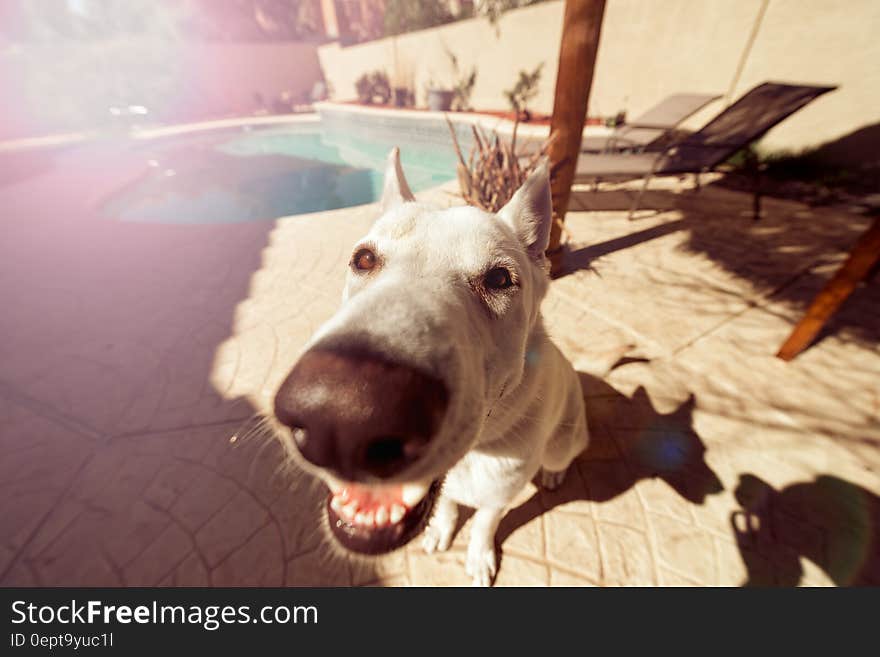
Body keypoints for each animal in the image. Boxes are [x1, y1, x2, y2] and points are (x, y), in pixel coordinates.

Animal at [274, 147, 592, 584]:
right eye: (364, 259)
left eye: (499, 279)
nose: (343, 417)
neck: (477, 453)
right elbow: (448, 506)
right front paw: (443, 529)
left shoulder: (499, 497)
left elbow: (485, 522)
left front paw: (478, 556)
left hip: (565, 441)